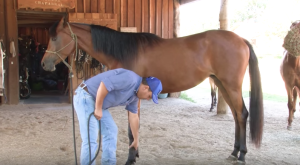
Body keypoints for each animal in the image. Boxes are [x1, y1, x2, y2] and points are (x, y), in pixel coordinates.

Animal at [41, 17, 264, 164]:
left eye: (55, 38)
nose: (44, 64)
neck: (124, 51)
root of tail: (241, 40)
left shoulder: (135, 96)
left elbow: (131, 129)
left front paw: (131, 158)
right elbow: (134, 127)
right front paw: (135, 154)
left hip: (231, 85)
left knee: (242, 115)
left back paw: (242, 154)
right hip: (222, 84)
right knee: (236, 116)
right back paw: (234, 152)